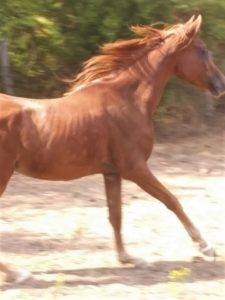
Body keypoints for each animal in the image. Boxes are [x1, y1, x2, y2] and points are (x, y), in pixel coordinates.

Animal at [0, 15, 225, 280]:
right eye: (202, 51)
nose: (221, 84)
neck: (128, 100)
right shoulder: (135, 168)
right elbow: (171, 200)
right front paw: (206, 246)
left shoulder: (112, 172)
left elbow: (115, 215)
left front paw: (129, 258)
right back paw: (18, 273)